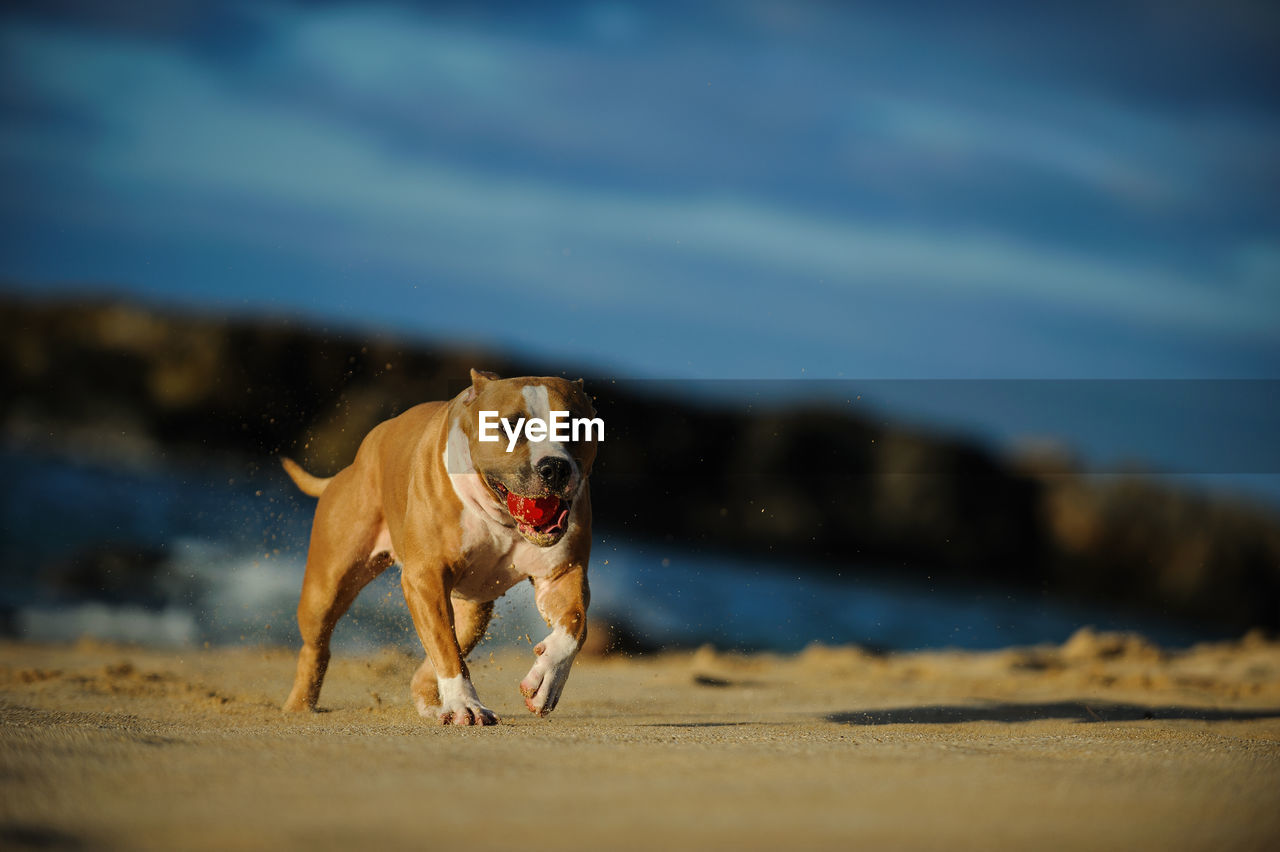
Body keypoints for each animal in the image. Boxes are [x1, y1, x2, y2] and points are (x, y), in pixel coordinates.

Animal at [279, 365, 593, 721]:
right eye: (511, 426)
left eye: (576, 427)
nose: (555, 467)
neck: (501, 520)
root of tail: (358, 458)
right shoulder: (425, 578)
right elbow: (445, 646)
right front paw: (465, 703)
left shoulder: (562, 574)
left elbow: (575, 625)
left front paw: (546, 680)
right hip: (327, 586)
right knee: (317, 644)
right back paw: (300, 706)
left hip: (473, 609)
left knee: (436, 658)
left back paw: (432, 705)